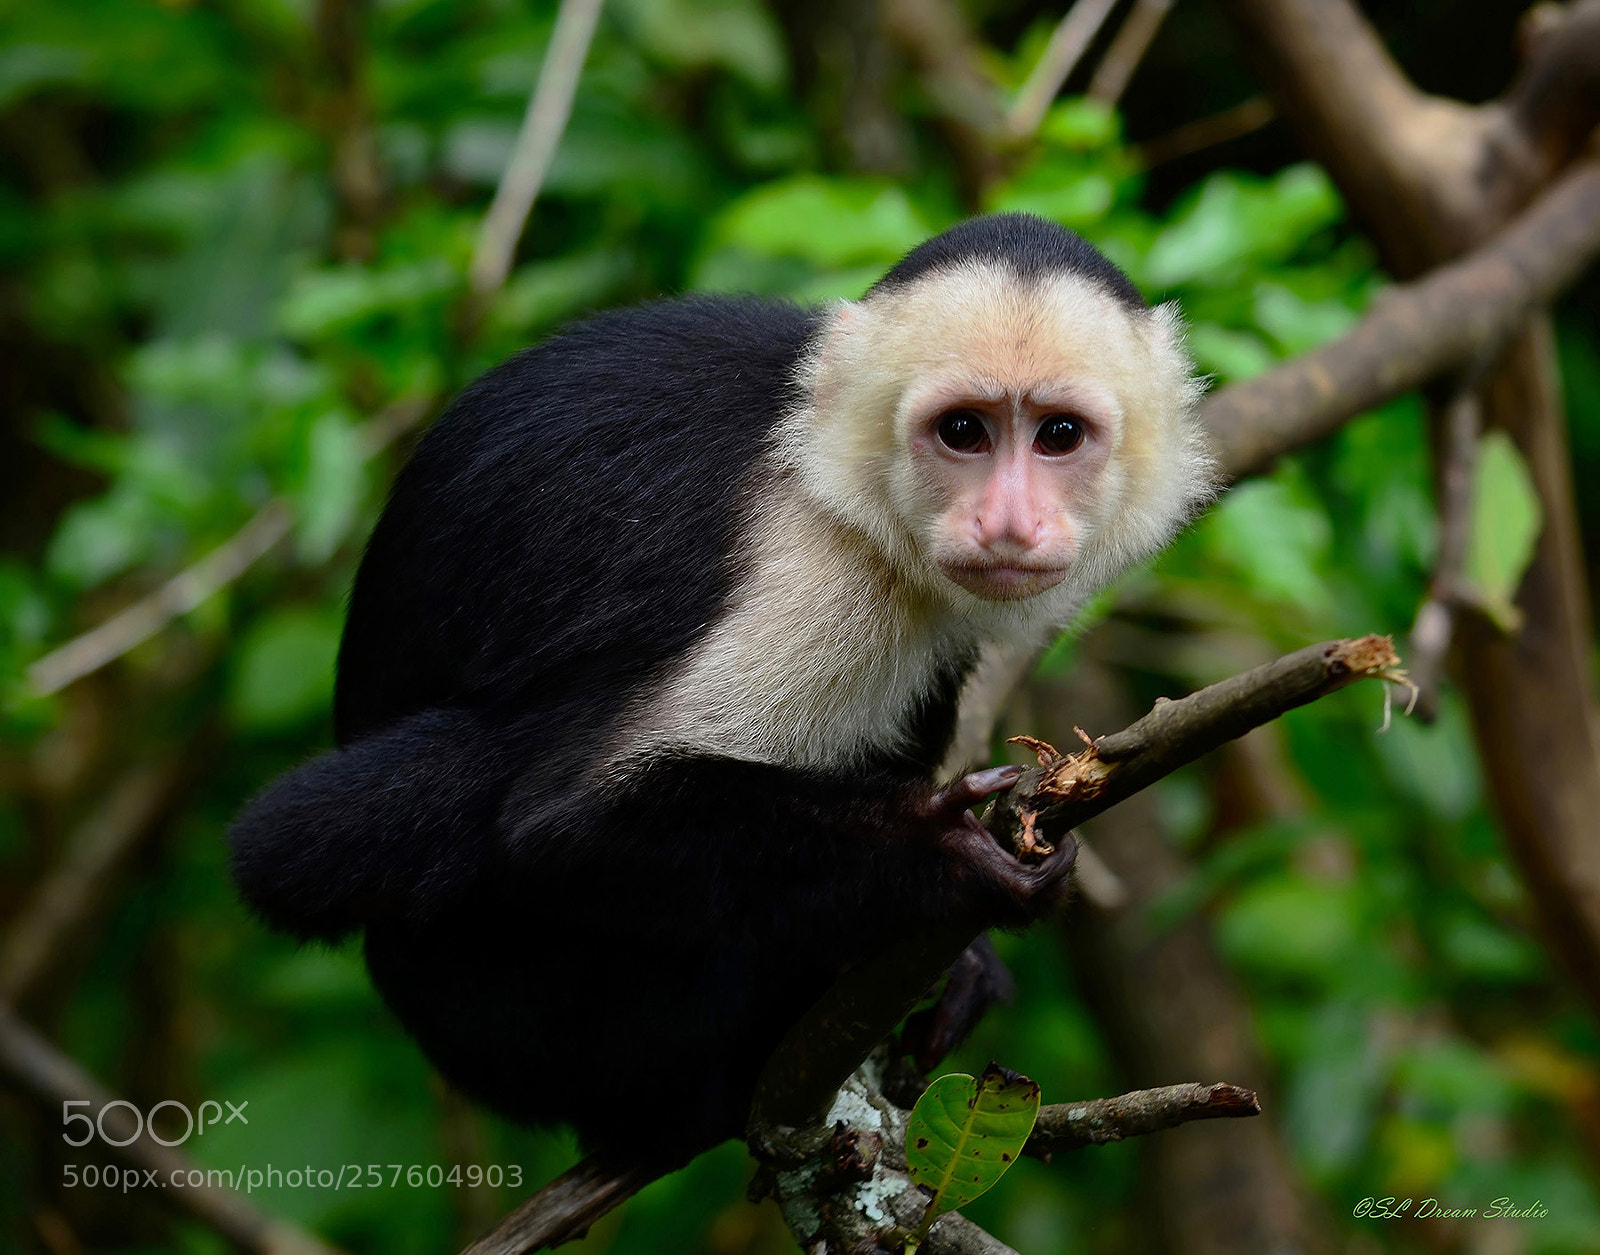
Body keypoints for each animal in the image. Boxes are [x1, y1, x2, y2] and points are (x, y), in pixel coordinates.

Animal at [228, 213, 1213, 1159]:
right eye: (963, 430)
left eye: (1059, 434)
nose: (1009, 522)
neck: (835, 469)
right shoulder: (812, 567)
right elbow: (564, 823)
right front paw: (941, 856)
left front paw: (956, 954)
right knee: (341, 822)